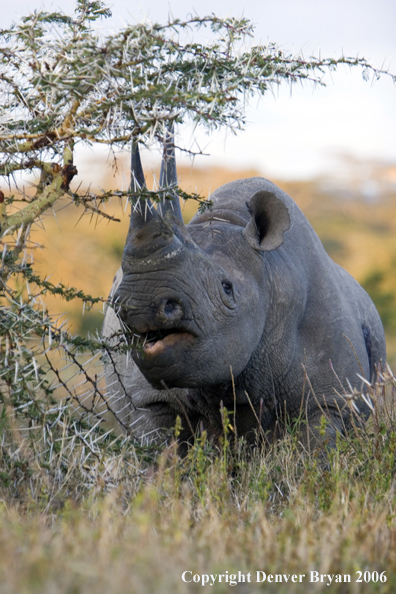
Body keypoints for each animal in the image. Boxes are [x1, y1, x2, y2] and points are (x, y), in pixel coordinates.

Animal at [102, 134, 386, 448]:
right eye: (116, 303)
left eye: (227, 288)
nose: (140, 305)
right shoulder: (150, 401)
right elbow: (160, 447)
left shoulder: (330, 400)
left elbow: (316, 448)